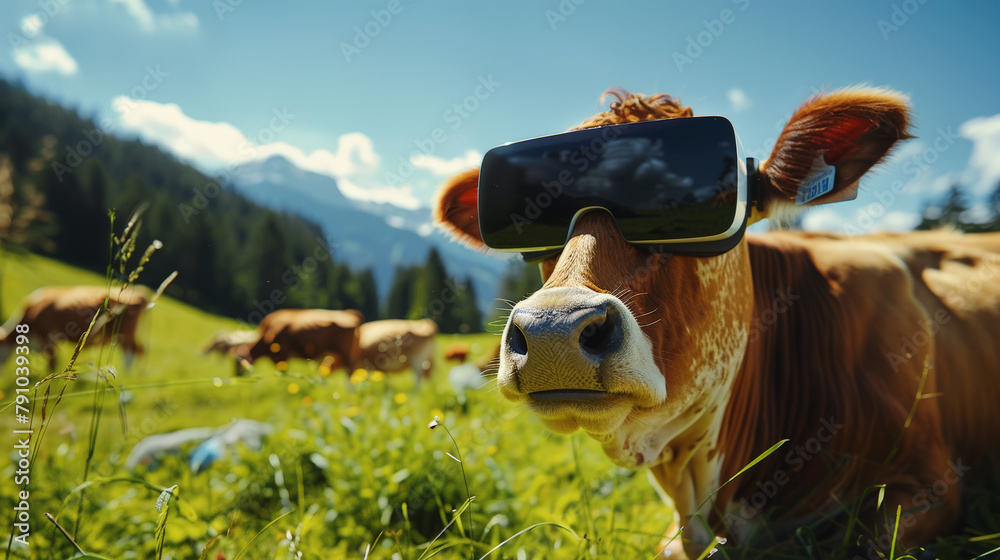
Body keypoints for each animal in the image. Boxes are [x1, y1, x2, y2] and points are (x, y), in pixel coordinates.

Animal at [0, 285, 150, 371]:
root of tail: (140, 293)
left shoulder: (49, 339)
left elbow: (52, 365)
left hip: (124, 333)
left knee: (131, 353)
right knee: (141, 350)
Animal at [236, 309, 364, 375]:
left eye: (239, 366)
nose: (237, 377)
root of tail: (351, 313)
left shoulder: (283, 354)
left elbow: (283, 371)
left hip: (346, 354)